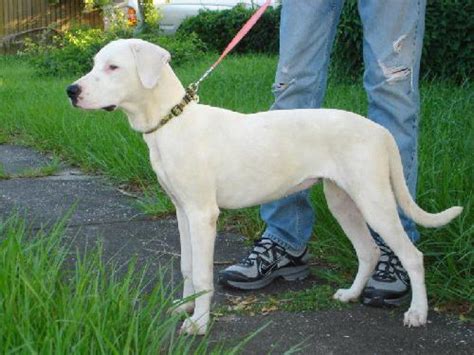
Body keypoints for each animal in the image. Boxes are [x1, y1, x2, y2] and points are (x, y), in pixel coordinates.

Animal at [67, 39, 462, 336]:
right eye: (94, 63)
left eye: (113, 67)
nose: (71, 91)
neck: (171, 122)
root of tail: (380, 131)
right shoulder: (182, 211)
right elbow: (186, 265)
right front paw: (184, 307)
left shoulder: (202, 215)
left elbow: (202, 271)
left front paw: (199, 324)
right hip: (344, 201)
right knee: (369, 251)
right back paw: (351, 294)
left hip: (374, 199)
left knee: (410, 255)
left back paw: (417, 313)